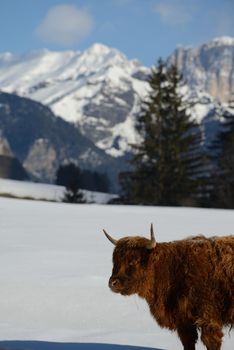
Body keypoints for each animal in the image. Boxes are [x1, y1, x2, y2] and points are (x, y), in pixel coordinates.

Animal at [103, 224, 233, 350]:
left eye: (133, 261)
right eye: (115, 261)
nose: (112, 283)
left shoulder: (208, 319)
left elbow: (211, 342)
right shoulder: (183, 322)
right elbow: (188, 343)